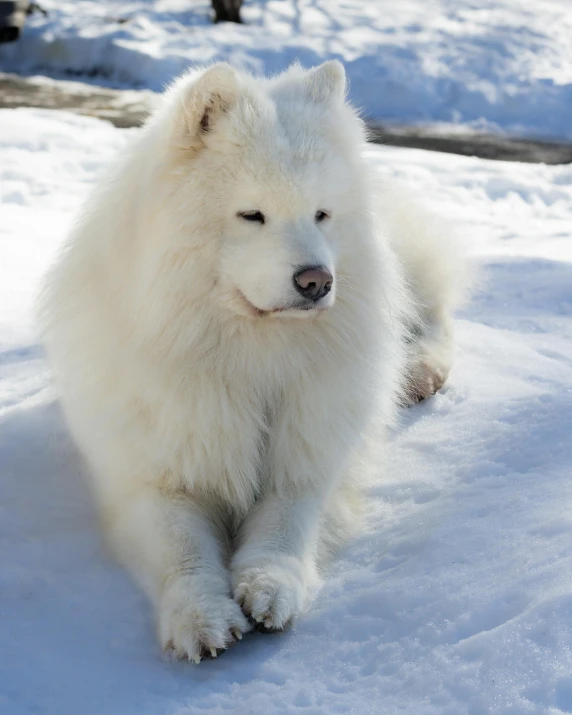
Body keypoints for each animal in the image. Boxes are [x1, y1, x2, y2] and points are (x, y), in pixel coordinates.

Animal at [41, 63, 470, 664]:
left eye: (320, 214)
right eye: (252, 215)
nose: (317, 281)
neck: (253, 356)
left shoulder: (310, 459)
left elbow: (287, 524)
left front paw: (270, 586)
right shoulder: (150, 478)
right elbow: (180, 548)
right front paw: (201, 617)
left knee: (435, 313)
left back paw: (419, 370)